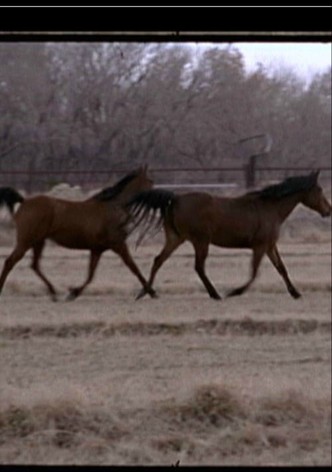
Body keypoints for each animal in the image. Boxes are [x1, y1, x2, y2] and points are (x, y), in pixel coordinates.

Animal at [0, 164, 157, 300]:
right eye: (150, 181)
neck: (112, 209)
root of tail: (24, 202)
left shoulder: (97, 249)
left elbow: (90, 274)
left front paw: (73, 292)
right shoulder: (118, 245)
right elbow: (134, 267)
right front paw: (150, 292)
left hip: (38, 242)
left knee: (35, 265)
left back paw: (53, 292)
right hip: (26, 241)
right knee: (10, 262)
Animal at [126, 171, 330, 300]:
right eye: (319, 190)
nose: (328, 210)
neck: (270, 208)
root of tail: (174, 199)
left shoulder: (270, 245)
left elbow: (282, 268)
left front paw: (296, 293)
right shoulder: (260, 246)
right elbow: (254, 272)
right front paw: (235, 291)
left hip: (176, 238)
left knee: (158, 260)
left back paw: (146, 292)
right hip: (200, 241)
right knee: (198, 267)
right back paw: (215, 294)